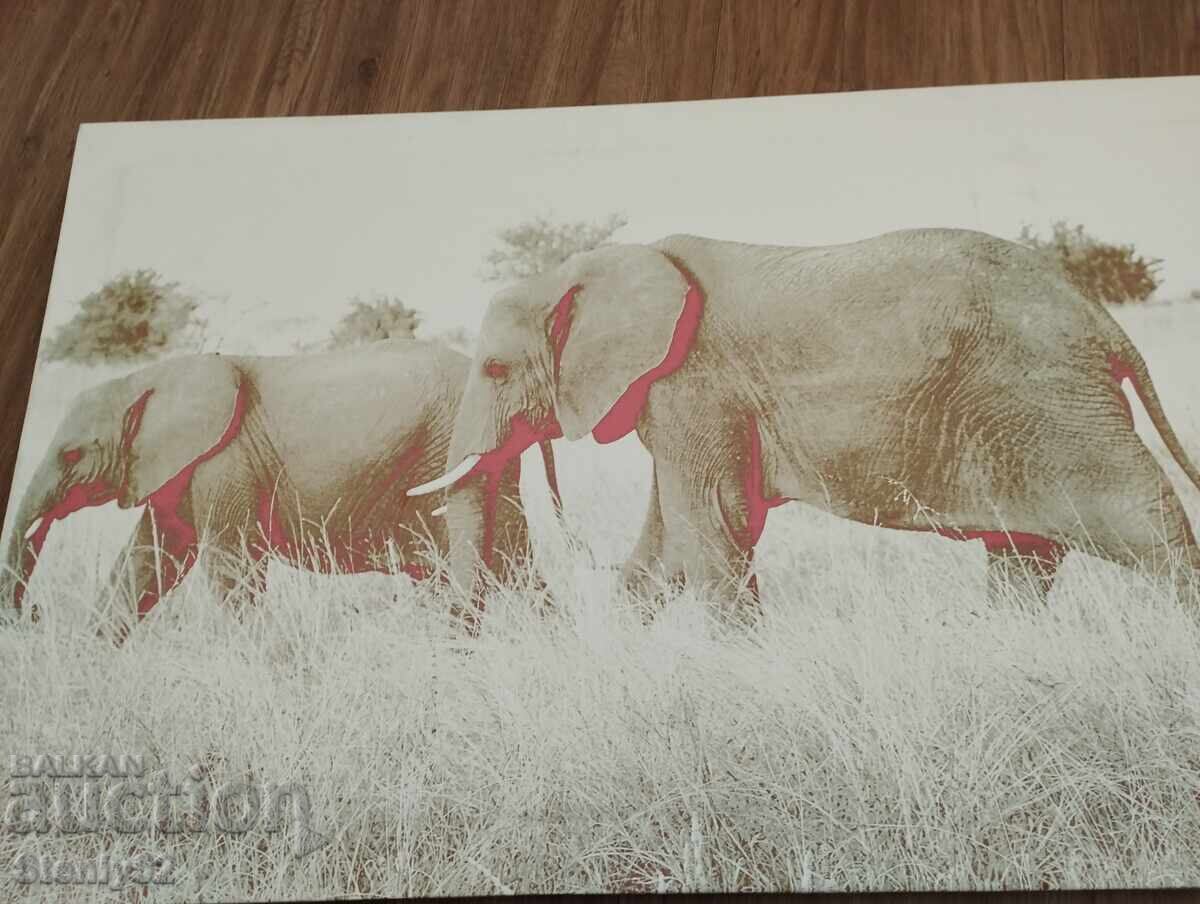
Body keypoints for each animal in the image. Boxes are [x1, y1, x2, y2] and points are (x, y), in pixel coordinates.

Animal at [3, 339, 555, 634]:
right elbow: (150, 560)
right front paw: (91, 659)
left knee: (490, 555)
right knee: (511, 557)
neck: (146, 380)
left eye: (71, 456)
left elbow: (227, 562)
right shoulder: (181, 472)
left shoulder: (222, 462)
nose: (33, 614)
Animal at [410, 228, 1200, 620]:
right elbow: (668, 544)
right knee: (1022, 551)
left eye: (494, 370)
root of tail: (1098, 316)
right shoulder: (675, 400)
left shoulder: (694, 388)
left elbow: (715, 523)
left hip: (1053, 401)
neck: (589, 268)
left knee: (1142, 519)